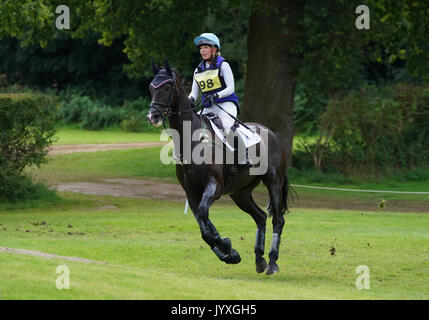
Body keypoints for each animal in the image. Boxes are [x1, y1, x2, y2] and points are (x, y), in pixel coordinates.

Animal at [147, 60, 290, 276]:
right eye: (151, 87)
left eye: (166, 86)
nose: (152, 116)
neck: (191, 140)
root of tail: (271, 134)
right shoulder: (191, 193)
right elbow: (203, 228)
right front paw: (229, 253)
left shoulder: (214, 185)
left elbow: (204, 216)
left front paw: (225, 245)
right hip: (240, 192)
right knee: (260, 217)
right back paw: (259, 260)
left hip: (273, 181)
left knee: (277, 220)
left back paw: (272, 262)